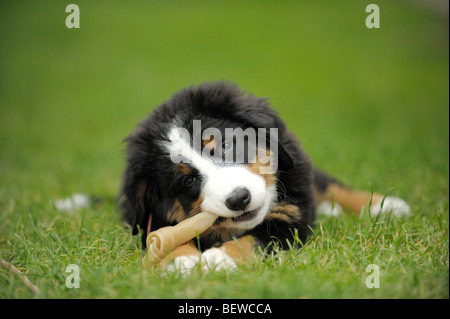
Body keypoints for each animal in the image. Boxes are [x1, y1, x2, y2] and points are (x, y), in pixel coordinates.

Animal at [120, 81, 412, 274]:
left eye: (224, 145)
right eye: (187, 181)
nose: (239, 199)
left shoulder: (290, 219)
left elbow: (253, 240)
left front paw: (219, 259)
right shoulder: (152, 221)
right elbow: (167, 237)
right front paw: (182, 260)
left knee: (328, 184)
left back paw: (385, 205)